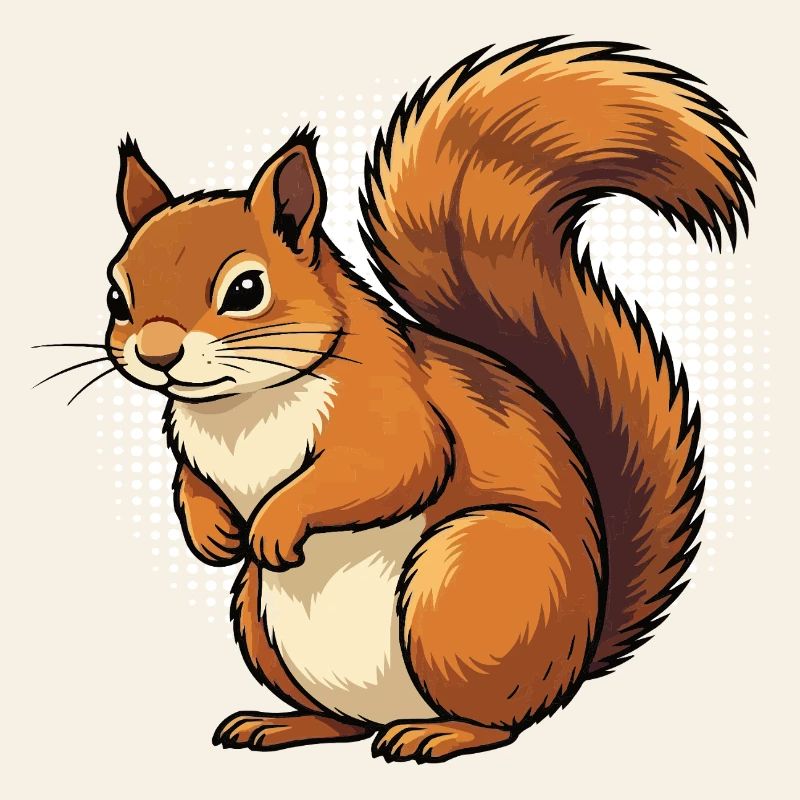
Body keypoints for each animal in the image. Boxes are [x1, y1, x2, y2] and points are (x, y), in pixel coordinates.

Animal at [104, 39, 753, 762]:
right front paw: (212, 532)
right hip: (257, 617)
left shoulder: (392, 407)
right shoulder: (192, 447)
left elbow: (393, 466)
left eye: (246, 290)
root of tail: (573, 663)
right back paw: (282, 724)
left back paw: (437, 734)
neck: (239, 406)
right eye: (116, 294)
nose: (156, 355)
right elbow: (190, 482)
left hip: (466, 578)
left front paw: (274, 521)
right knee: (342, 721)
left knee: (502, 723)